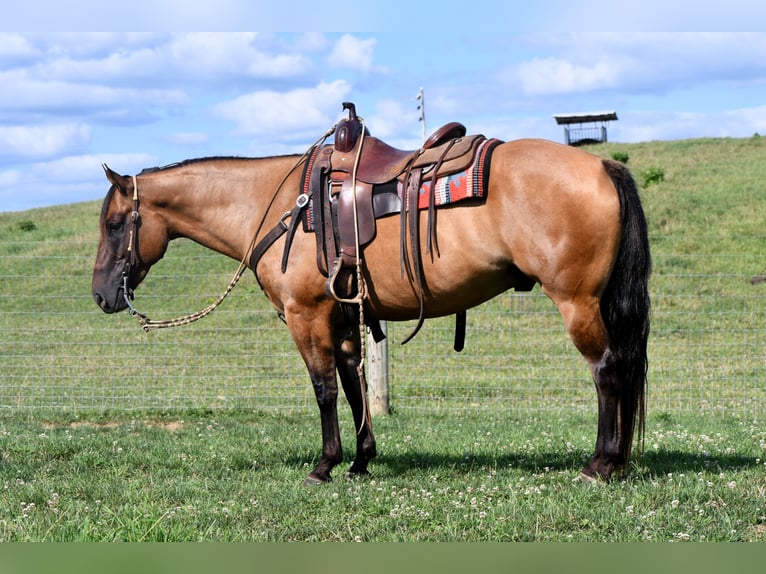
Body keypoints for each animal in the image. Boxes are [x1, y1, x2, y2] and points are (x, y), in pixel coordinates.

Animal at [91, 107, 656, 486]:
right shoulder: (342, 315)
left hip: (577, 302)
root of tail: (603, 166)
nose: (100, 296)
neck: (277, 202)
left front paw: (324, 464)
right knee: (621, 369)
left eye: (116, 224)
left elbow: (323, 389)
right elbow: (352, 384)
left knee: (607, 371)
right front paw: (361, 460)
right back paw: (617, 460)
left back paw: (600, 464)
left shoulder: (306, 315)